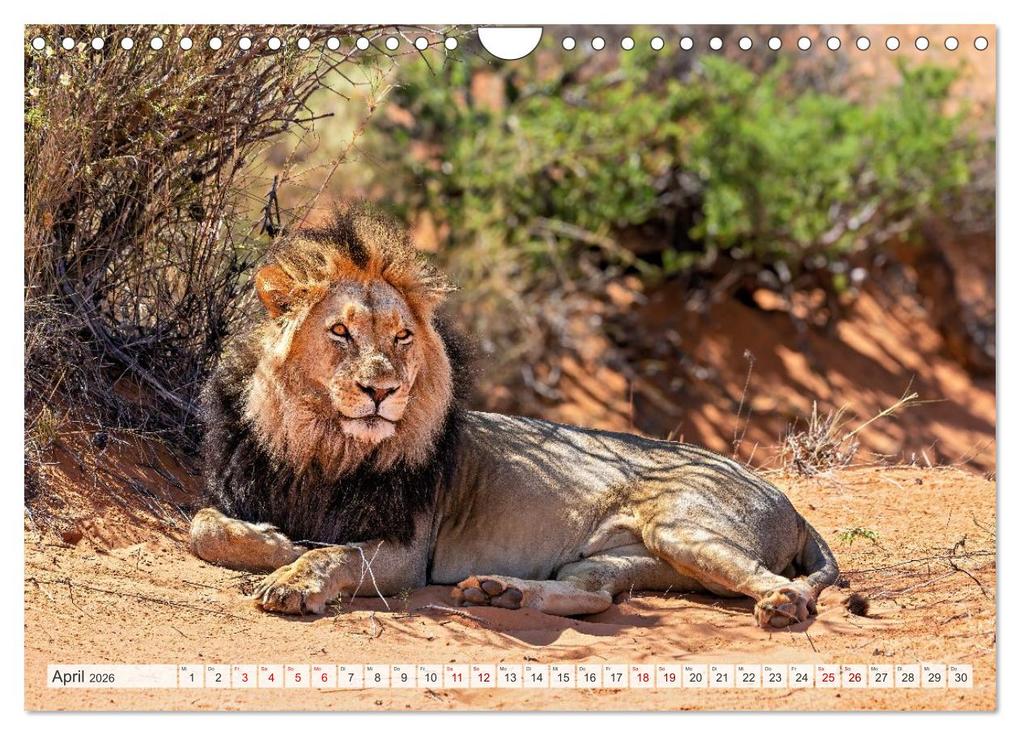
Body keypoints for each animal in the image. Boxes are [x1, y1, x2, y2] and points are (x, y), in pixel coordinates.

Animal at [190, 205, 839, 628]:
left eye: (402, 337)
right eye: (340, 332)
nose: (383, 390)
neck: (323, 448)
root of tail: (788, 502)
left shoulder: (407, 553)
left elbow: (334, 553)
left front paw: (293, 578)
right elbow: (203, 527)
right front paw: (274, 541)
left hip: (681, 528)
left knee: (789, 588)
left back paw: (780, 607)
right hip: (618, 560)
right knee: (595, 596)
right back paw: (502, 594)